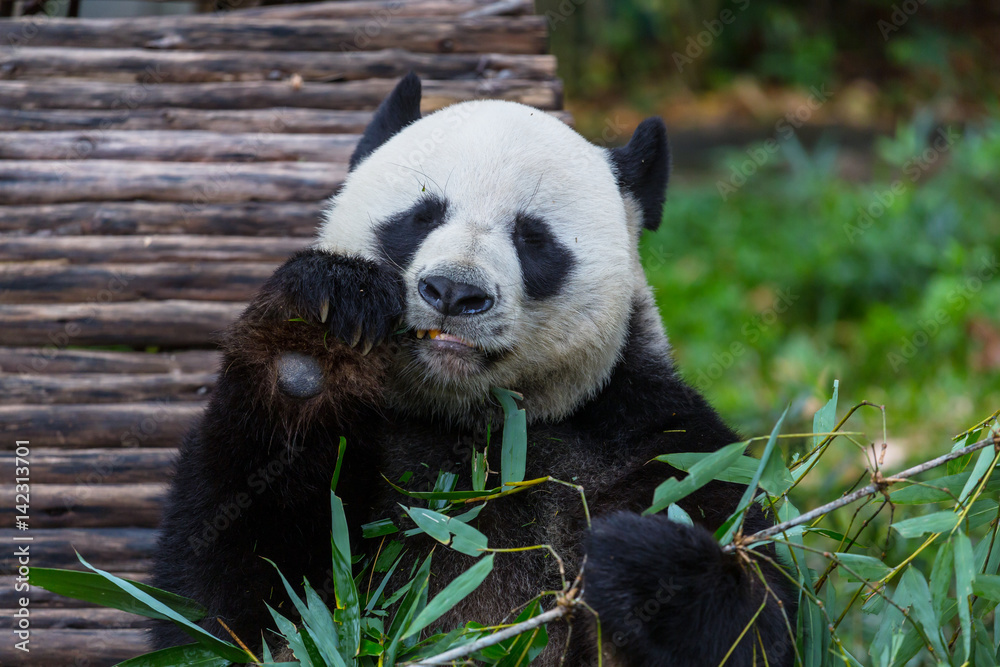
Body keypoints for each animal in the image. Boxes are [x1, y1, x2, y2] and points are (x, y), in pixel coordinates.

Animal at [152, 73, 796, 666]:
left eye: (533, 238)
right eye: (420, 215)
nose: (454, 292)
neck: (478, 431)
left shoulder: (652, 440)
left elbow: (762, 619)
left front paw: (640, 564)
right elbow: (235, 604)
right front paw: (313, 341)